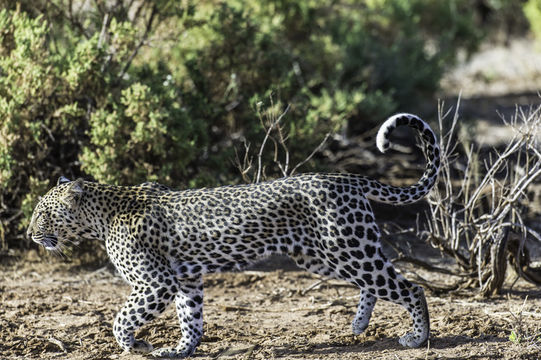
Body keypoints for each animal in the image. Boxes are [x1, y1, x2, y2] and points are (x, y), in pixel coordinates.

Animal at [27, 112, 438, 358]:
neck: (101, 215)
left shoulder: (156, 282)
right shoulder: (184, 279)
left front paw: (133, 344)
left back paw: (417, 337)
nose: (30, 233)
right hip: (324, 256)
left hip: (346, 249)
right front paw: (180, 350)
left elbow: (122, 318)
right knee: (378, 281)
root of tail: (346, 177)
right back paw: (359, 324)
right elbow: (190, 317)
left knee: (411, 287)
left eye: (44, 214)